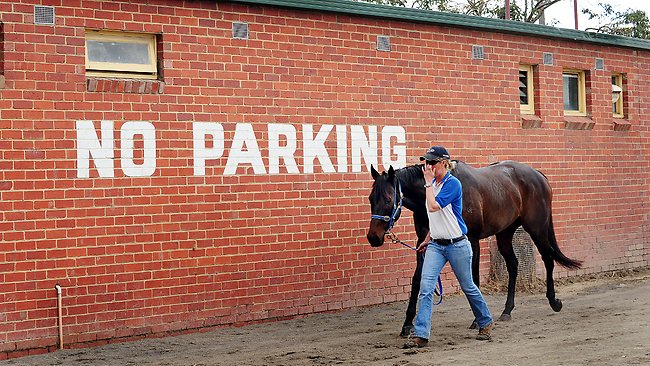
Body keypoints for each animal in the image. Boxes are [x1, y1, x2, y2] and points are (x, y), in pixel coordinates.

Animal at [364, 159, 584, 336]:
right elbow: (418, 280)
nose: (373, 237)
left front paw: (478, 320)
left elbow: (473, 278)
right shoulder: (423, 243)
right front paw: (407, 324)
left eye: (388, 199)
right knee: (513, 265)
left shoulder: (471, 240)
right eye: (370, 198)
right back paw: (507, 311)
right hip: (504, 233)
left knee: (548, 258)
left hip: (536, 228)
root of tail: (539, 175)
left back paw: (554, 302)